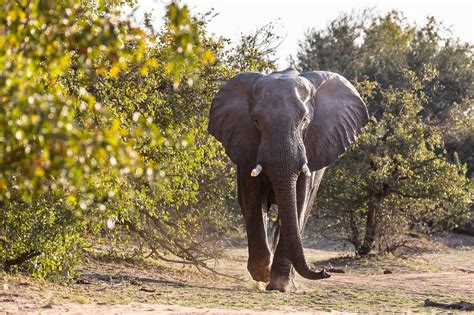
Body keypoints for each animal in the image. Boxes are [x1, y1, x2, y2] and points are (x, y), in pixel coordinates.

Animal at [208, 68, 370, 292]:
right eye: (256, 121)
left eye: (304, 120)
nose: (325, 271)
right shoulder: (246, 147)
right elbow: (253, 202)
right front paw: (263, 275)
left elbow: (299, 201)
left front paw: (279, 285)